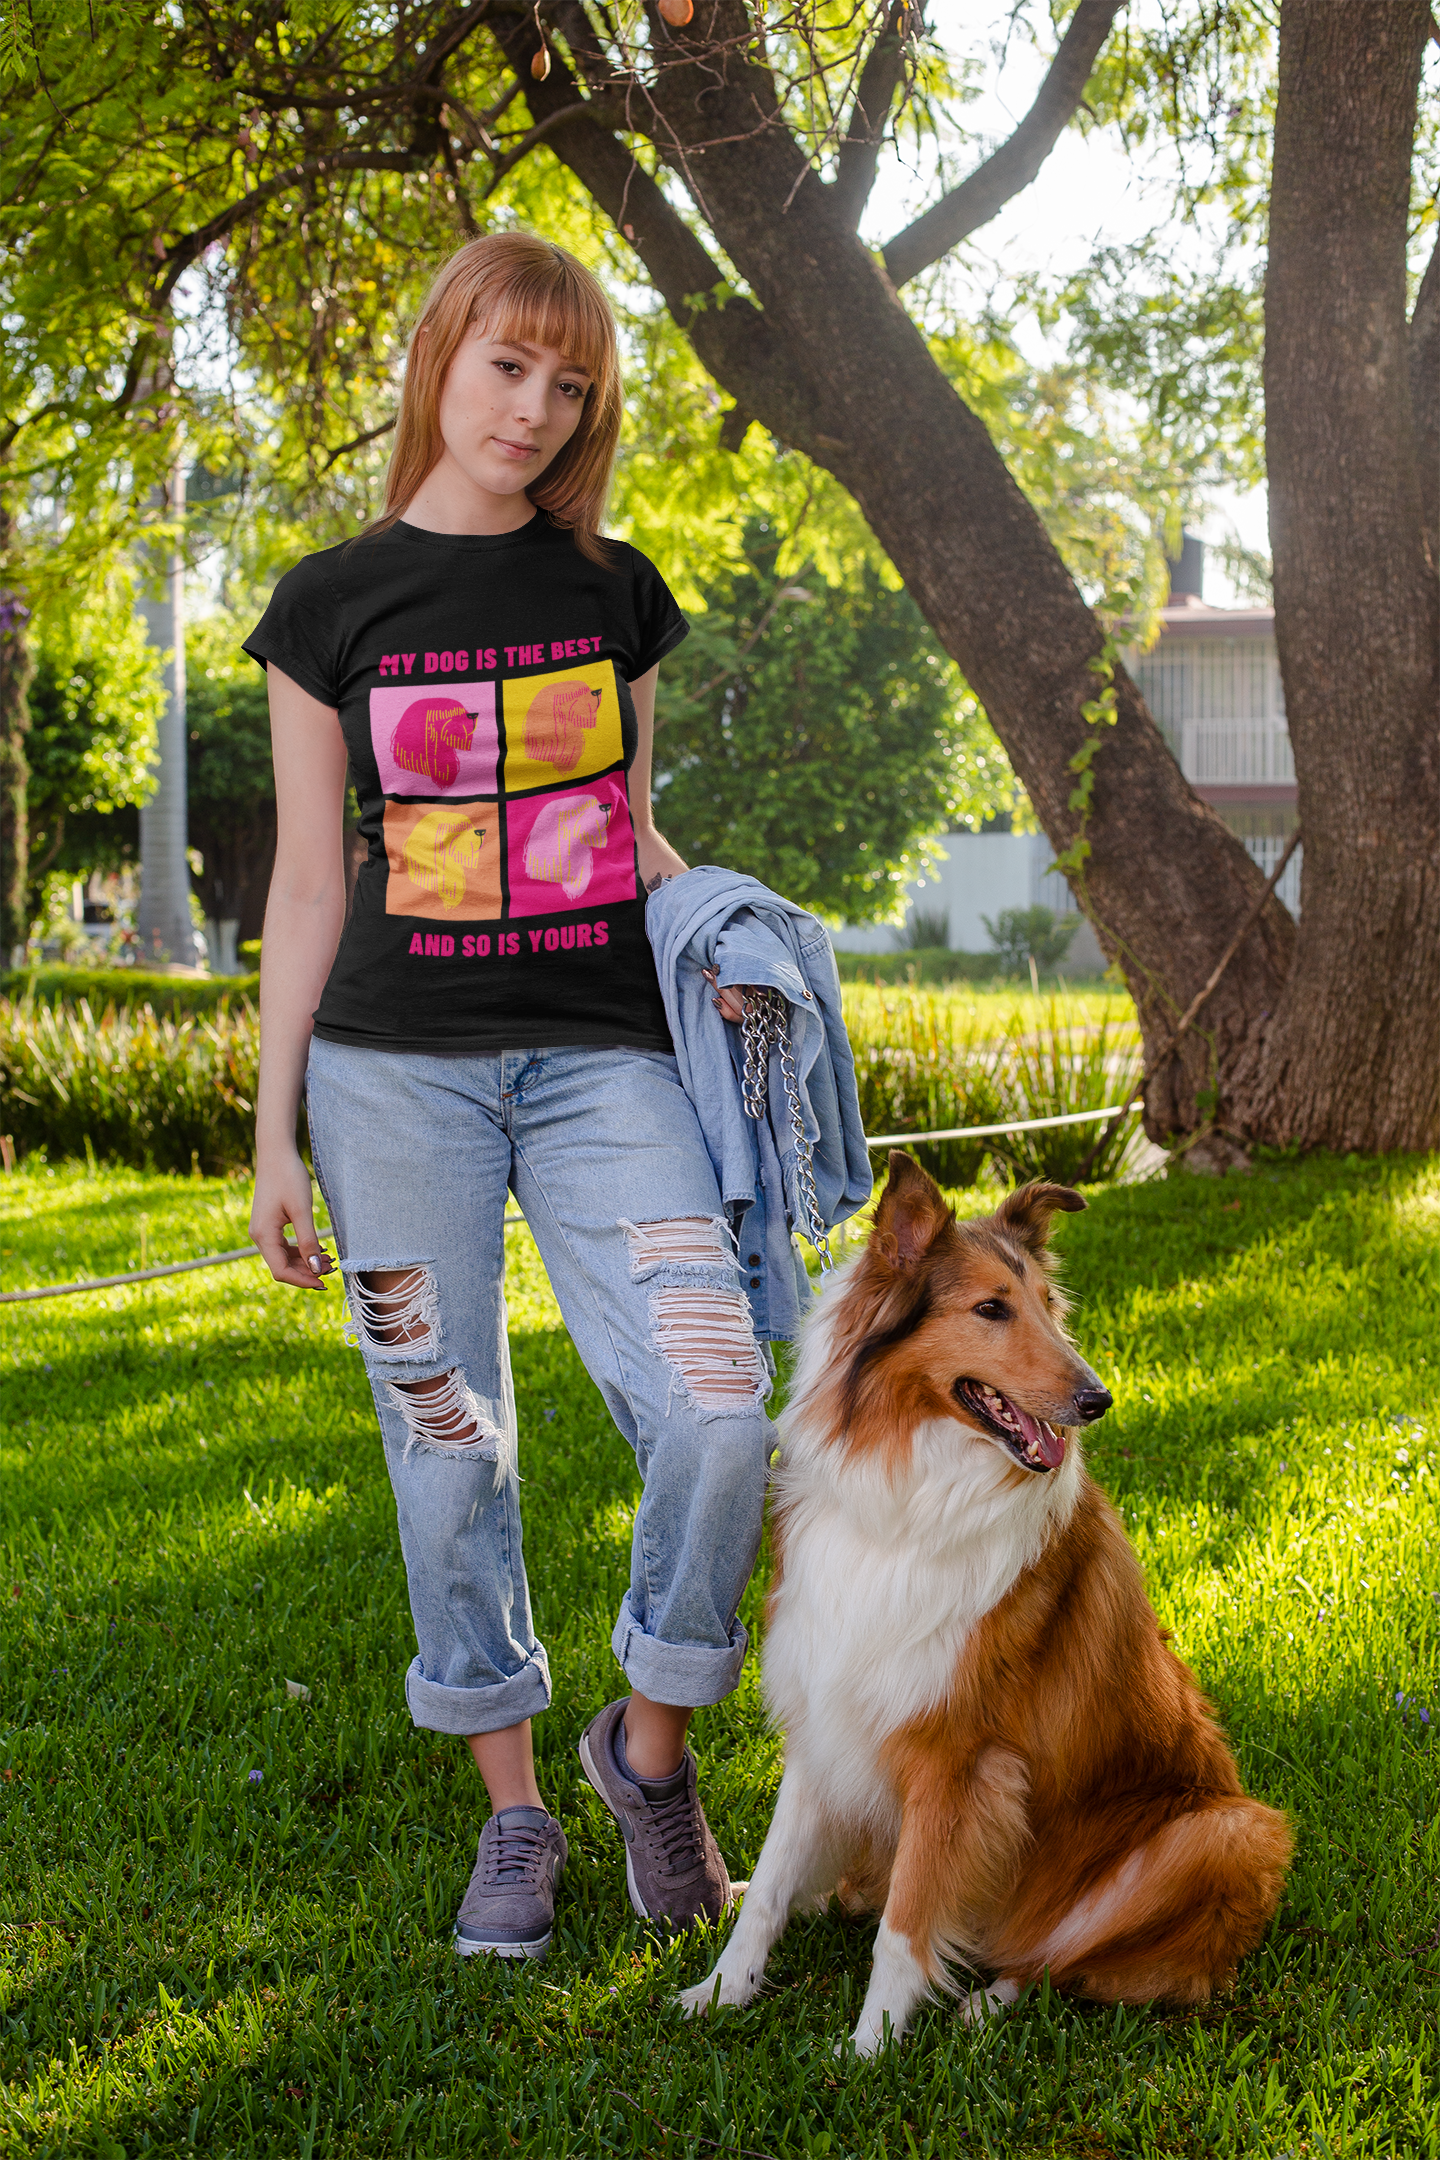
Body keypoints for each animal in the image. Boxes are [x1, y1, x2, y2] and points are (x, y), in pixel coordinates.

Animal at [686, 1157, 1295, 2047]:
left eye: (1048, 1306)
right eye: (989, 1309)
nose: (1097, 1400)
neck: (913, 1497)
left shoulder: (960, 1756)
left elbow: (907, 1925)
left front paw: (868, 2048)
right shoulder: (825, 1714)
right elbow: (769, 1881)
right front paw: (722, 1989)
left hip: (1229, 1831)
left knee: (1063, 1959)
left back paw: (984, 2002)